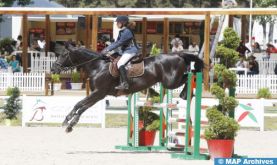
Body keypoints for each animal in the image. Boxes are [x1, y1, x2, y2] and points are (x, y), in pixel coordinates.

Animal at [51, 45, 203, 133]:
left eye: (63, 55)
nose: (53, 69)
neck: (98, 66)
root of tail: (177, 55)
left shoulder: (99, 93)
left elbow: (80, 105)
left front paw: (70, 122)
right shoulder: (98, 95)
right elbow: (81, 106)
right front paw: (68, 122)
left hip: (170, 82)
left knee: (190, 77)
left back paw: (185, 94)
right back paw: (185, 95)